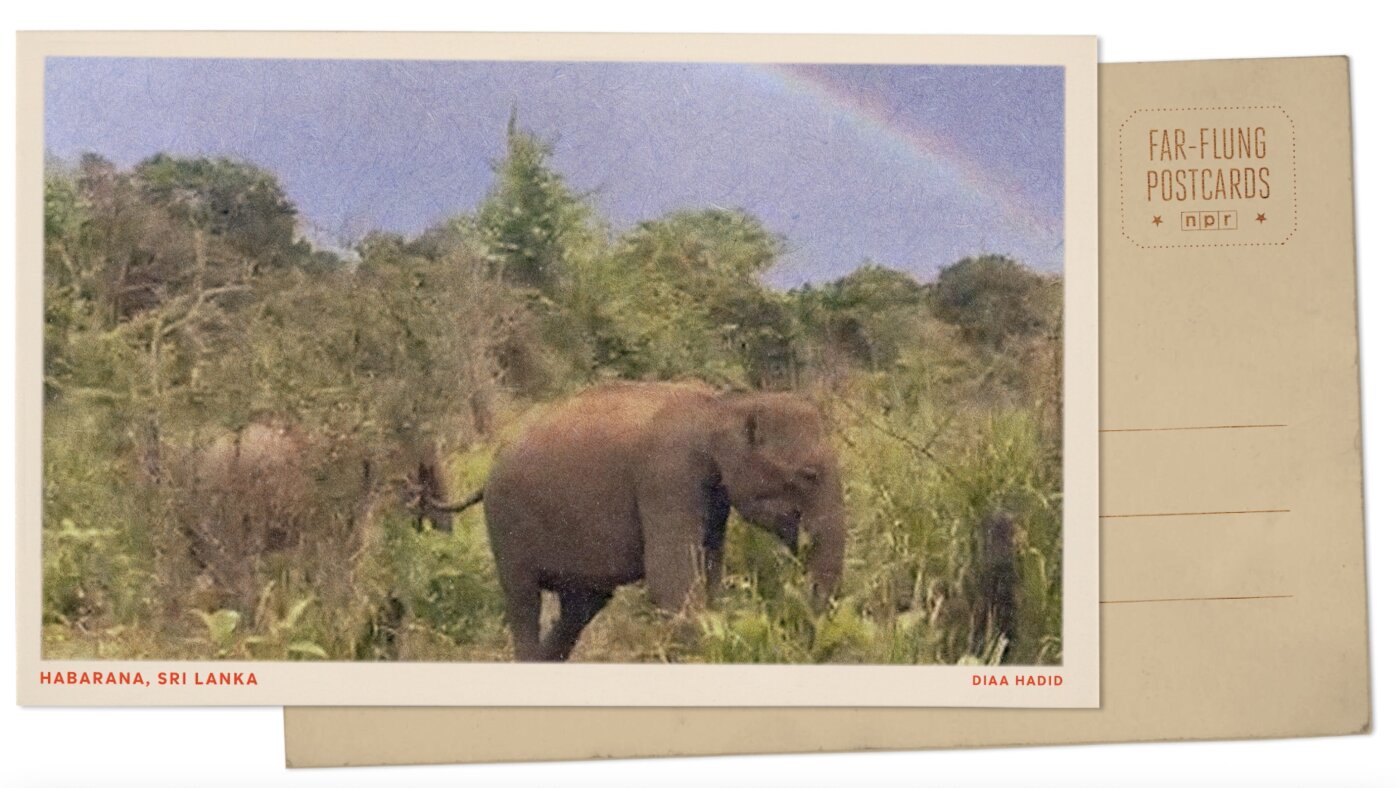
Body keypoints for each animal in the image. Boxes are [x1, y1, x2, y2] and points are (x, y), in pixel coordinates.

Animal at [445, 380, 847, 662]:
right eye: (809, 475)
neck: (723, 405)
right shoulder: (666, 478)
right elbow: (671, 578)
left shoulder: (712, 496)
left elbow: (709, 569)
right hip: (505, 524)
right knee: (524, 599)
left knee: (581, 606)